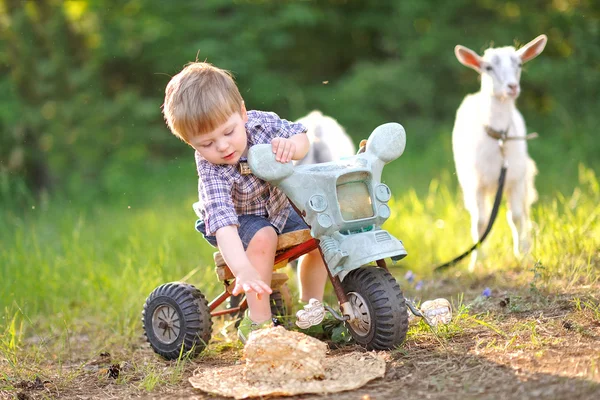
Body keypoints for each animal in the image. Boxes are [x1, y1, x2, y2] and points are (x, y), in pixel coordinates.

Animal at [452, 35, 548, 272]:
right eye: (488, 67)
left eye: (519, 64)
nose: (512, 87)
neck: (499, 138)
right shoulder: (476, 183)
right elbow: (480, 222)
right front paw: (476, 262)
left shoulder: (515, 178)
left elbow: (516, 217)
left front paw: (522, 255)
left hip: (525, 178)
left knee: (525, 212)